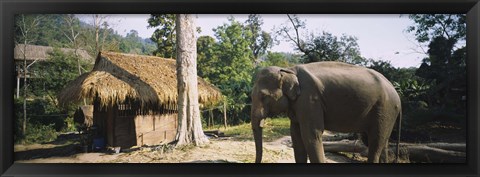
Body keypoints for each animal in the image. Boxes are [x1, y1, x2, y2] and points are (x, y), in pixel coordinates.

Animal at [251, 61, 402, 163]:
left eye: (263, 96)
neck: (289, 70)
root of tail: (398, 97)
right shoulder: (298, 105)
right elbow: (296, 135)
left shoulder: (310, 100)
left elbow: (311, 135)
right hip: (385, 113)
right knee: (381, 141)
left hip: (385, 109)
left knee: (375, 141)